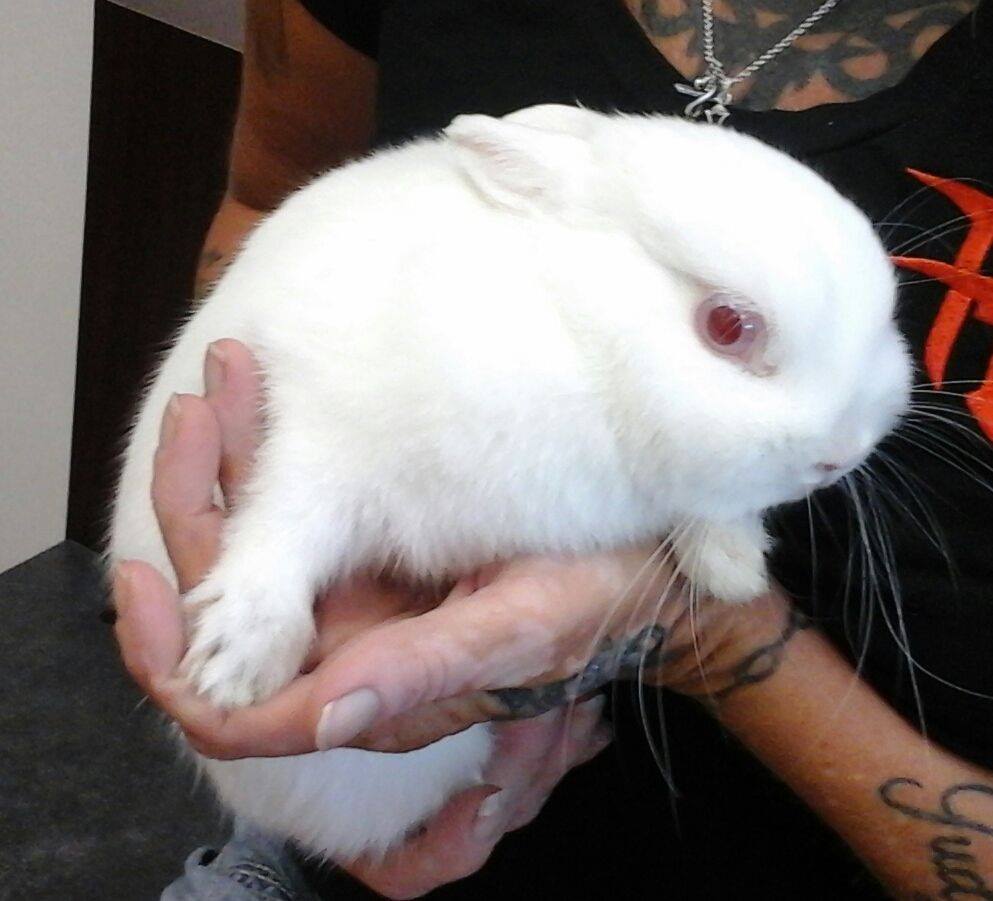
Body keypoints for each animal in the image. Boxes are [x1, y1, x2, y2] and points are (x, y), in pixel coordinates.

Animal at [108, 105, 908, 856]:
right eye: (726, 326)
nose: (840, 455)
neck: (571, 327)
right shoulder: (324, 426)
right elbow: (286, 523)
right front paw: (235, 665)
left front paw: (731, 568)